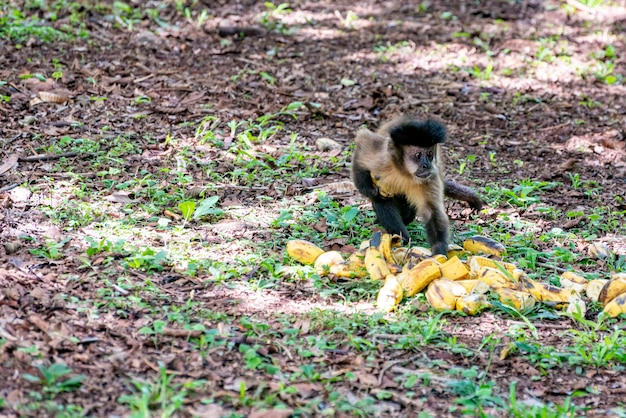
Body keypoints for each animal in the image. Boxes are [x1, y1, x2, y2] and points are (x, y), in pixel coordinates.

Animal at [352, 116, 482, 255]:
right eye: (418, 155)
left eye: (429, 154)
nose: (427, 165)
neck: (404, 172)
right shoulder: (383, 159)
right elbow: (362, 141)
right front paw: (368, 189)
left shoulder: (430, 176)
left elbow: (432, 211)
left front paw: (438, 252)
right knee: (381, 199)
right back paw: (400, 237)